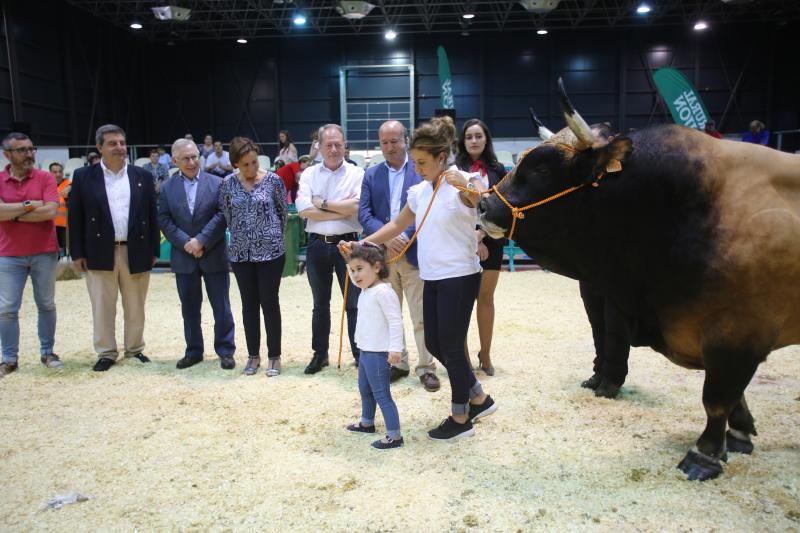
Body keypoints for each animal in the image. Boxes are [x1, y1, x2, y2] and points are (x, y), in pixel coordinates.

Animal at [478, 80, 796, 482]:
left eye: (541, 168)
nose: (484, 206)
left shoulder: (736, 330)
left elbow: (717, 397)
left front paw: (705, 454)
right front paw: (739, 435)